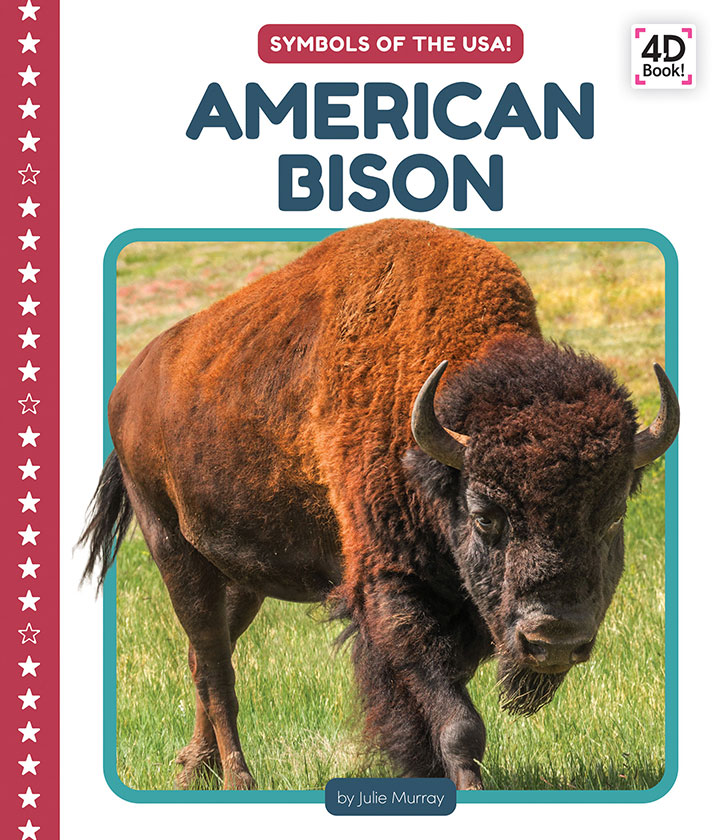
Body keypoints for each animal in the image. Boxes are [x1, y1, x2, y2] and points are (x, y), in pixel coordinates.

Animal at [81, 220, 678, 790]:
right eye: (486, 517)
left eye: (613, 516)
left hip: (240, 575)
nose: (552, 638)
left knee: (207, 653)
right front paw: (465, 781)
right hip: (172, 548)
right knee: (212, 667)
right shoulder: (392, 588)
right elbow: (455, 717)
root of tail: (127, 389)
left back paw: (192, 770)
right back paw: (238, 778)